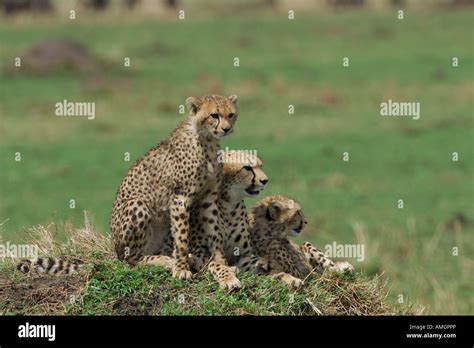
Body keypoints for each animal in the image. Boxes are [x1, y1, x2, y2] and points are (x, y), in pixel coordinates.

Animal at [109, 94, 239, 282]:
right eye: (214, 115)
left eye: (231, 115)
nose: (226, 129)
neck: (207, 140)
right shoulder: (180, 198)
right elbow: (182, 238)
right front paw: (181, 269)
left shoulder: (208, 199)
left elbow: (215, 234)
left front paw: (223, 265)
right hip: (136, 205)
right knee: (131, 259)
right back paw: (166, 261)